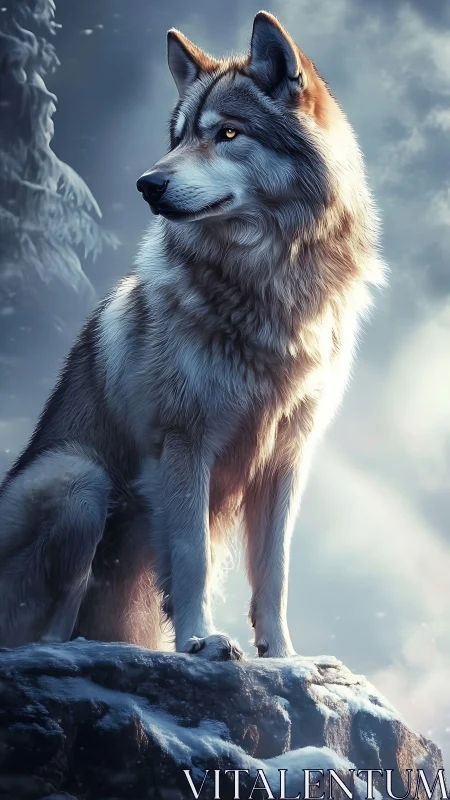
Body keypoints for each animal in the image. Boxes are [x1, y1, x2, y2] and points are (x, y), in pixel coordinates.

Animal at [0, 11, 384, 659]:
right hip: (80, 477)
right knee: (42, 631)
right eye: (178, 138)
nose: (146, 184)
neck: (268, 287)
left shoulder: (287, 458)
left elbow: (275, 571)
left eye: (227, 133)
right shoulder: (184, 443)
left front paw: (282, 655)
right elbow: (191, 557)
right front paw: (201, 640)